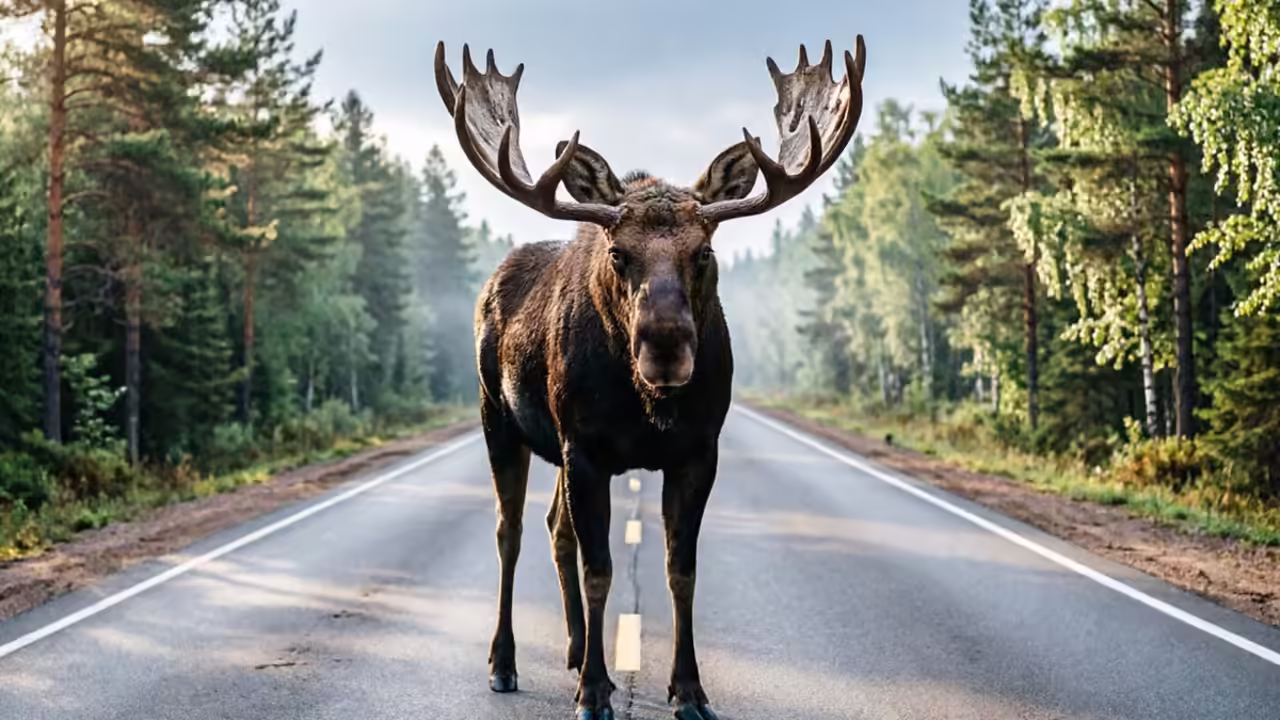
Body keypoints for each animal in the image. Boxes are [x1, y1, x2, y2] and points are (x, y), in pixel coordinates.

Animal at [433, 36, 866, 720]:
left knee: (555, 529)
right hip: (497, 419)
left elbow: (678, 570)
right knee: (511, 531)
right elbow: (602, 570)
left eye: (704, 252)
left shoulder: (697, 451)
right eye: (618, 253)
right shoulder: (585, 449)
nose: (665, 347)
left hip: (551, 446)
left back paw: (574, 650)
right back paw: (506, 662)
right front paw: (594, 692)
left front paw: (687, 689)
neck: (647, 408)